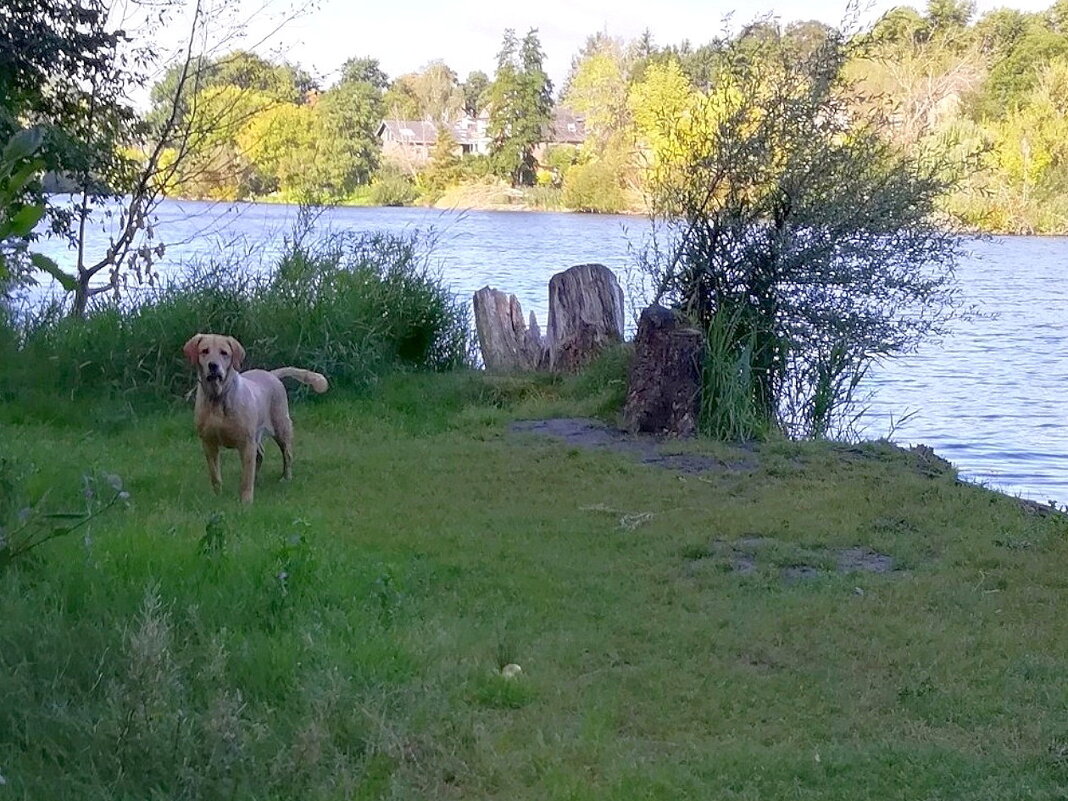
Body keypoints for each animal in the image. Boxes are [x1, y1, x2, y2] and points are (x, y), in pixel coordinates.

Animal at [183, 335, 326, 504]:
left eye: (224, 353)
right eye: (204, 351)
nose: (213, 365)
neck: (218, 399)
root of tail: (271, 374)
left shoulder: (246, 442)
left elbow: (246, 477)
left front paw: (246, 501)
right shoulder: (208, 443)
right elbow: (215, 474)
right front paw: (217, 496)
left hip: (281, 427)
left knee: (287, 454)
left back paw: (286, 478)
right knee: (260, 455)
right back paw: (257, 479)